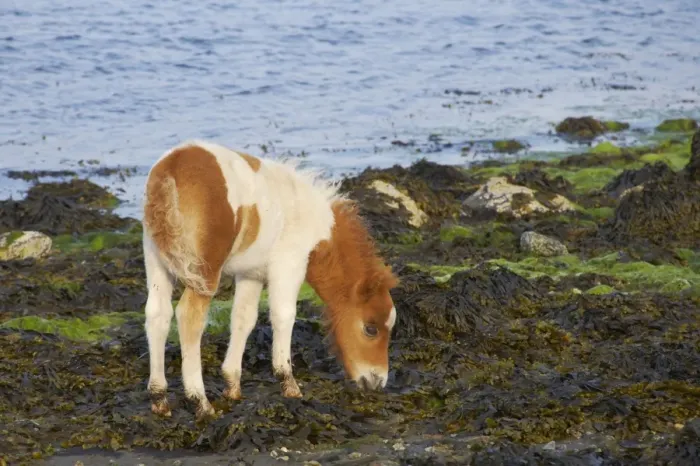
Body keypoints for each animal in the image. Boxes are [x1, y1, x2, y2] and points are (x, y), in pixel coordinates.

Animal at [141, 140, 399, 420]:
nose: (377, 381)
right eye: (370, 328)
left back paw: (159, 398)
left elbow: (243, 319)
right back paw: (200, 401)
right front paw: (289, 384)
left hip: (156, 260)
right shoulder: (289, 266)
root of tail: (171, 168)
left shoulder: (251, 274)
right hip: (204, 271)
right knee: (189, 316)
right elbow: (283, 315)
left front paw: (232, 385)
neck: (315, 226)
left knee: (158, 314)